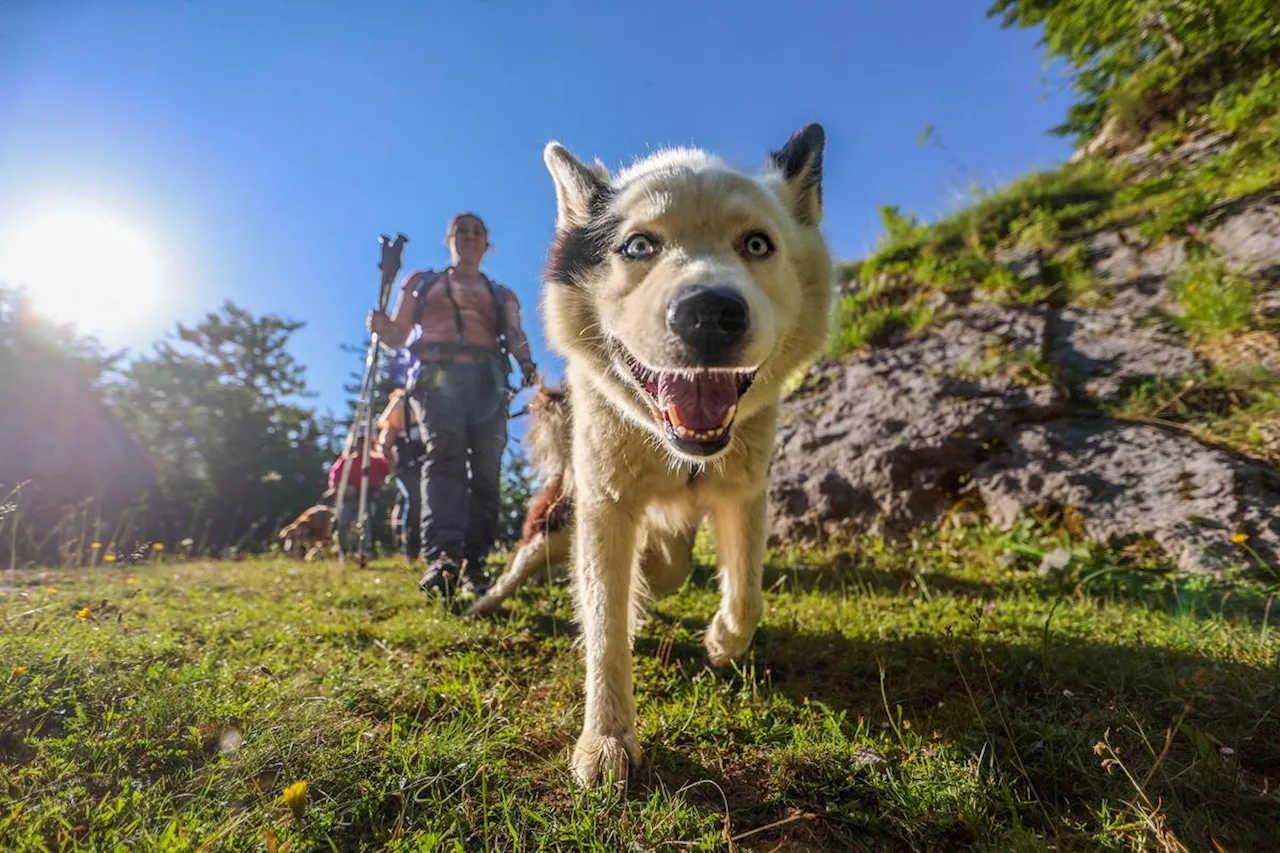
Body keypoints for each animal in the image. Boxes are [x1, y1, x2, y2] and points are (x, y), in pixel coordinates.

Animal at [504, 122, 834, 778]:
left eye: (757, 244)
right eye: (637, 246)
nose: (709, 312)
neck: (678, 453)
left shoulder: (743, 492)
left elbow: (747, 593)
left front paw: (721, 641)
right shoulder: (605, 505)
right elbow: (605, 626)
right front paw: (606, 740)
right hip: (557, 517)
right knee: (520, 562)